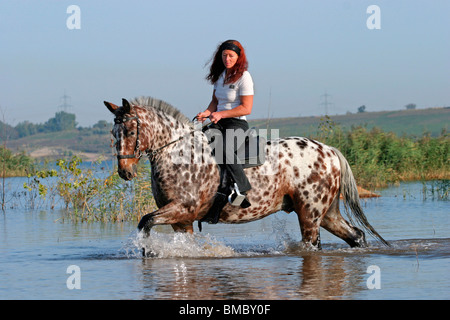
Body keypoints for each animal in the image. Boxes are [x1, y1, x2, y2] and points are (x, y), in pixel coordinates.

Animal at [103, 95, 388, 255]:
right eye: (113, 133)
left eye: (130, 131)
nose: (125, 172)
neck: (178, 153)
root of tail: (329, 151)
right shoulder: (181, 221)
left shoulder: (182, 209)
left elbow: (145, 222)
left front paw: (147, 251)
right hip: (326, 213)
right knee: (356, 236)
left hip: (310, 213)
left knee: (314, 246)